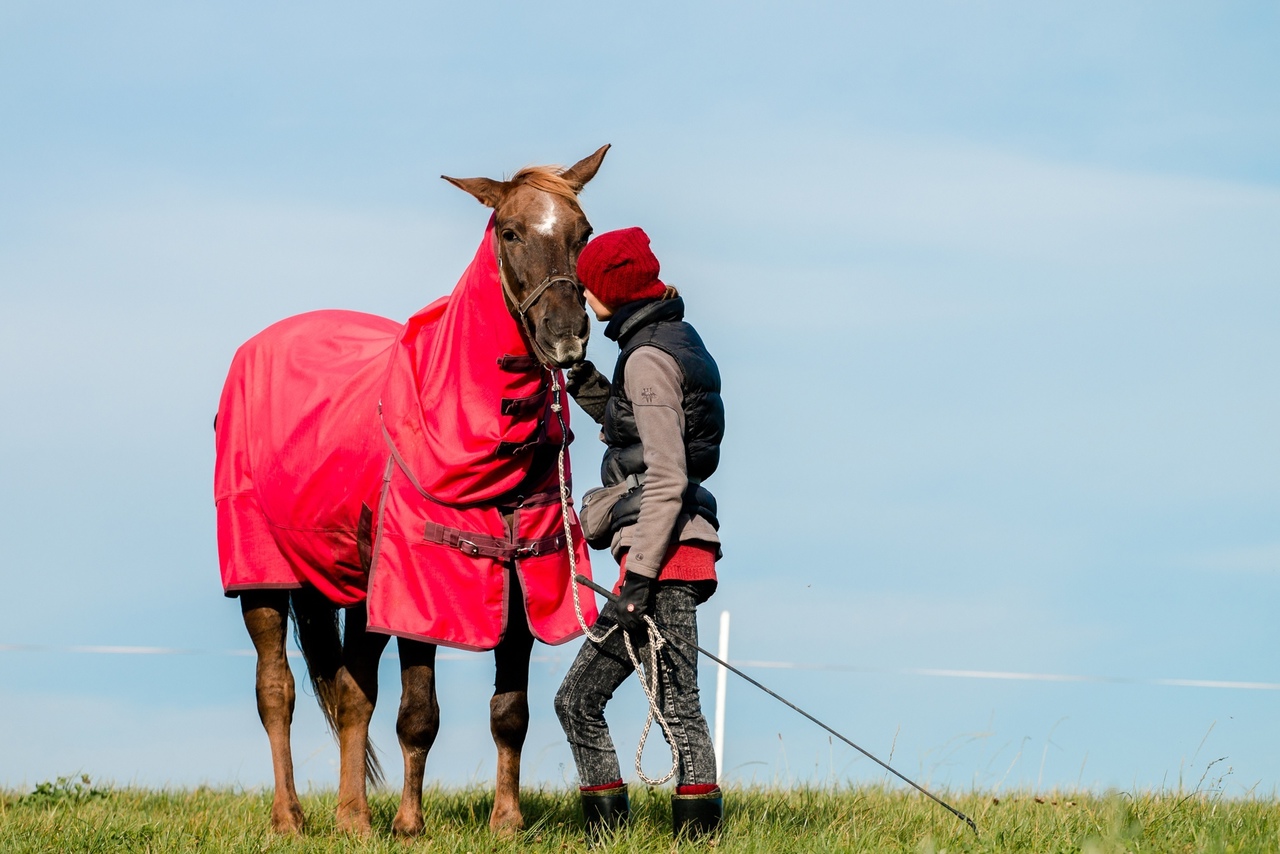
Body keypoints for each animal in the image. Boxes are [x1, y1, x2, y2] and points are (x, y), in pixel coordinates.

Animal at [213, 145, 609, 834]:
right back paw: (291, 817)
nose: (566, 336)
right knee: (276, 692)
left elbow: (510, 712)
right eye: (510, 231)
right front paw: (408, 825)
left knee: (352, 693)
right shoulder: (422, 588)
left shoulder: (522, 584)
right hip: (261, 574)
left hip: (357, 585)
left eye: (582, 233)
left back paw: (352, 816)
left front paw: (506, 822)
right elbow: (418, 716)